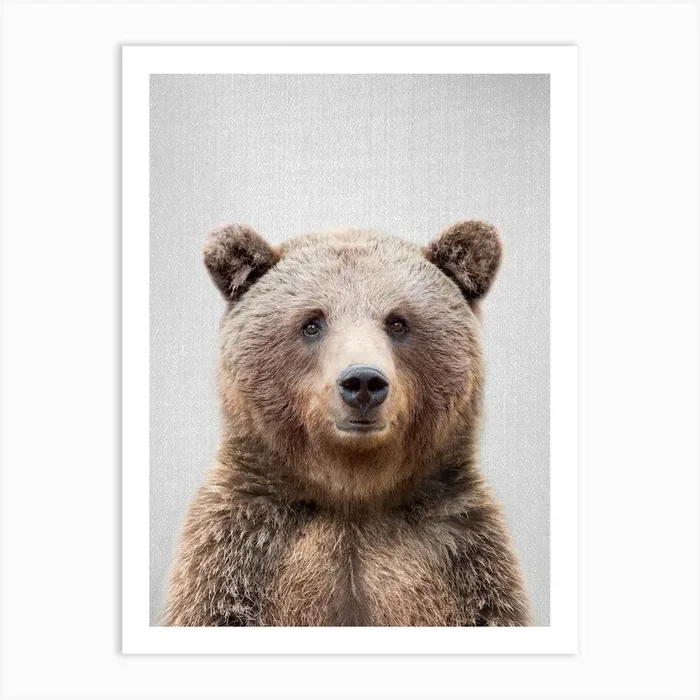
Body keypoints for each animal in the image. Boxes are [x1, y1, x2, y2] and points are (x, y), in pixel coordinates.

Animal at [163, 221, 532, 626]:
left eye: (398, 322)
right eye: (312, 323)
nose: (363, 382)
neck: (352, 493)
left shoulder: (463, 556)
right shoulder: (239, 553)